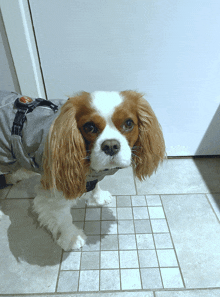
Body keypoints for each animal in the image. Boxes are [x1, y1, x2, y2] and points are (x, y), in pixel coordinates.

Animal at [0, 90, 165, 250]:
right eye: (89, 127)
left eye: (128, 123)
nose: (111, 145)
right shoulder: (54, 189)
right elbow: (63, 217)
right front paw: (71, 238)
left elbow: (95, 185)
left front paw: (98, 197)